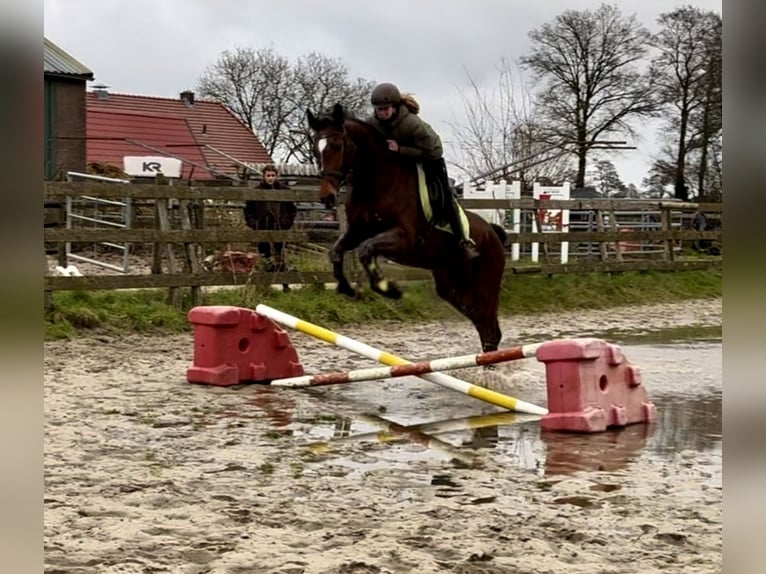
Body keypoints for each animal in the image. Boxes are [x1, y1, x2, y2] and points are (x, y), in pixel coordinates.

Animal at [306, 105, 510, 354]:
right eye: (315, 149)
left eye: (338, 146)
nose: (326, 197)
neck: (377, 182)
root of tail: (493, 233)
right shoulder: (356, 232)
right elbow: (336, 251)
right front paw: (346, 288)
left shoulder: (404, 238)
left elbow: (366, 249)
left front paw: (388, 289)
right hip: (452, 286)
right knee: (484, 325)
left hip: (485, 284)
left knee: (490, 327)